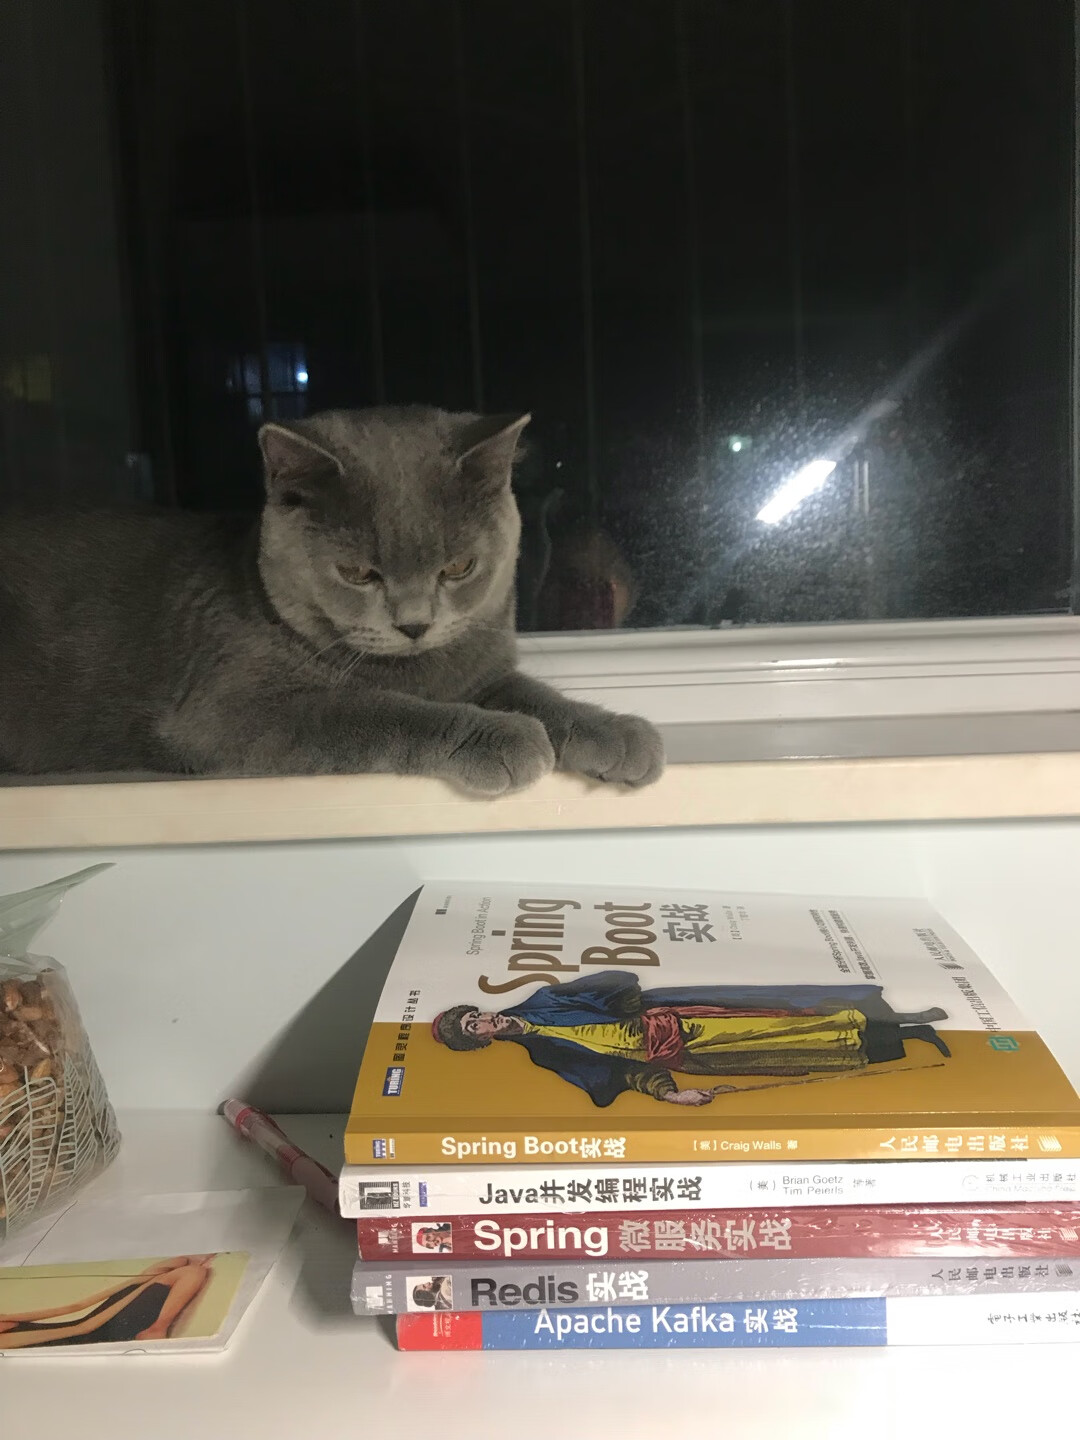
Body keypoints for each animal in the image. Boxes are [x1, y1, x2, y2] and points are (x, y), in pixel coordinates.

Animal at [0, 406, 664, 792]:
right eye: (356, 573)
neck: (421, 671)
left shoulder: (482, 668)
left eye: (458, 567)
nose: (415, 624)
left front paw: (621, 734)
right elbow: (371, 709)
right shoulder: (227, 707)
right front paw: (505, 738)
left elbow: (537, 694)